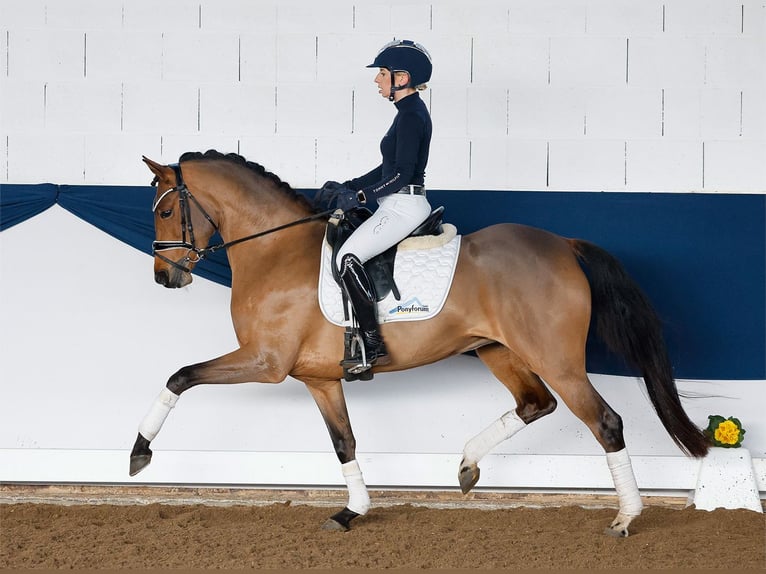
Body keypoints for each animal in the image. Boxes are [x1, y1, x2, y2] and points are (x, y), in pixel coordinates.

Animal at [134, 151, 712, 536]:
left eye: (163, 211)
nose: (165, 277)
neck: (274, 249)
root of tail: (563, 246)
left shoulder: (265, 362)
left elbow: (179, 376)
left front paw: (140, 453)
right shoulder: (319, 378)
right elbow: (344, 442)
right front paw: (352, 511)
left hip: (556, 358)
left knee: (604, 421)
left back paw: (625, 518)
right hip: (497, 350)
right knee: (535, 403)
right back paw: (467, 465)